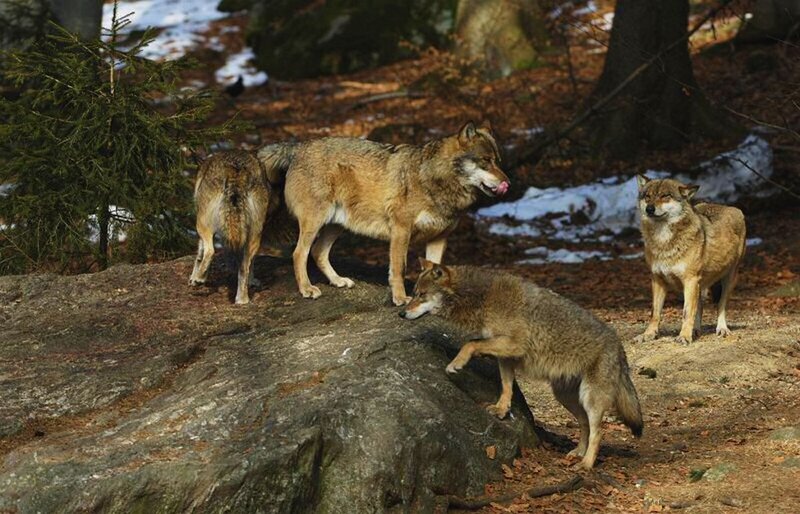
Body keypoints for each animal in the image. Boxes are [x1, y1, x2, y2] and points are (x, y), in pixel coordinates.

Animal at [189, 150, 276, 305]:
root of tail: (236, 169)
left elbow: (199, 254)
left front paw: (195, 278)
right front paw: (253, 281)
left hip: (202, 225)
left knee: (211, 251)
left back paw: (199, 279)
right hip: (254, 235)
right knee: (244, 267)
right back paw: (242, 300)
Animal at [257, 122, 510, 306]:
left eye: (497, 161)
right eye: (485, 161)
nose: (507, 183)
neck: (436, 179)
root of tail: (299, 146)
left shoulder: (439, 238)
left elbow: (435, 269)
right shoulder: (401, 230)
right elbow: (399, 268)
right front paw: (400, 298)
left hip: (336, 225)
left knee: (318, 252)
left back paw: (338, 281)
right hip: (316, 221)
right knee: (299, 253)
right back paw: (307, 289)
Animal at [399, 260, 643, 469]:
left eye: (421, 295)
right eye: (413, 293)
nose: (401, 312)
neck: (483, 296)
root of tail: (618, 345)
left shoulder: (514, 345)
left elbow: (470, 344)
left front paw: (456, 363)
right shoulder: (506, 355)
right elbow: (506, 385)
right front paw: (501, 409)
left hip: (590, 398)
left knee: (598, 432)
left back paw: (587, 464)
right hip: (566, 397)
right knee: (584, 424)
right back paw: (578, 453)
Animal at [635, 176, 746, 344]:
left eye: (665, 196)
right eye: (648, 197)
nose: (649, 209)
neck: (664, 240)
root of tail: (728, 207)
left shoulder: (690, 280)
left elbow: (687, 312)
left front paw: (684, 337)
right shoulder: (657, 280)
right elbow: (655, 313)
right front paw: (648, 334)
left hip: (729, 279)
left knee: (720, 305)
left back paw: (721, 329)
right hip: (701, 285)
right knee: (700, 307)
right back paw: (696, 331)